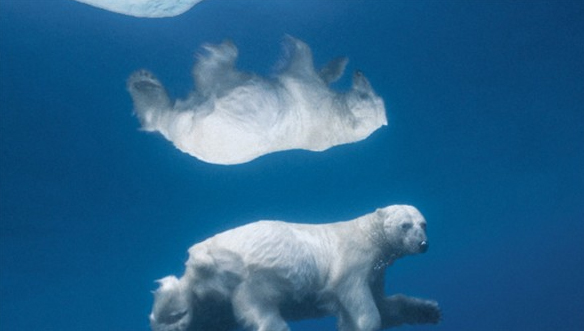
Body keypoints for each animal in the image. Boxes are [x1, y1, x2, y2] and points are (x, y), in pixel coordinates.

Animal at [125, 36, 386, 166]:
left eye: (365, 95)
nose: (360, 74)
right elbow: (321, 74)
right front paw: (339, 64)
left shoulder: (308, 95)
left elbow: (301, 63)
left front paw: (293, 44)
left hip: (206, 122)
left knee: (208, 82)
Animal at [148, 205, 440, 331]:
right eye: (405, 225)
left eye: (423, 224)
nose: (423, 244)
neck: (368, 233)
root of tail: (199, 257)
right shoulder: (353, 260)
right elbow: (357, 298)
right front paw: (362, 324)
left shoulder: (376, 271)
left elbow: (387, 305)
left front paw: (429, 310)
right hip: (252, 277)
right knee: (261, 310)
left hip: (212, 297)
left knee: (199, 314)